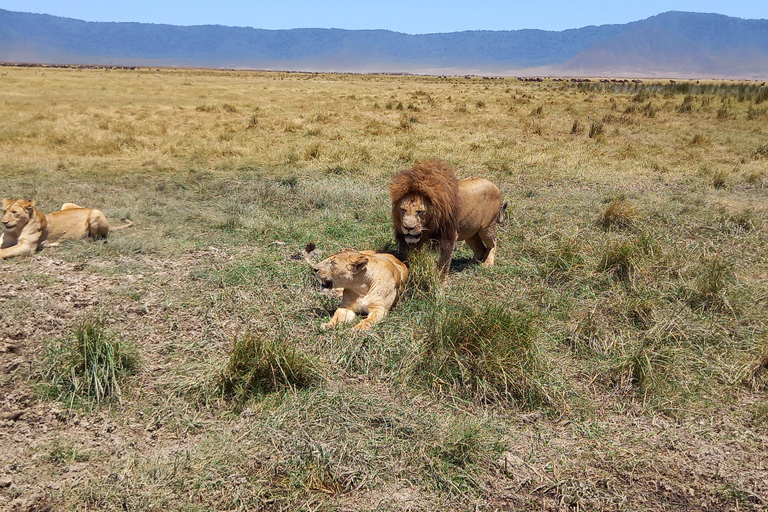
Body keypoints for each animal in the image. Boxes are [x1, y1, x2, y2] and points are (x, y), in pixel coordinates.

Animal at [0, 198, 134, 258]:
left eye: (14, 212)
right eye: (4, 211)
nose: (3, 222)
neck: (17, 229)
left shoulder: (27, 246)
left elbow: (4, 251)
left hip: (96, 213)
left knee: (98, 237)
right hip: (66, 204)